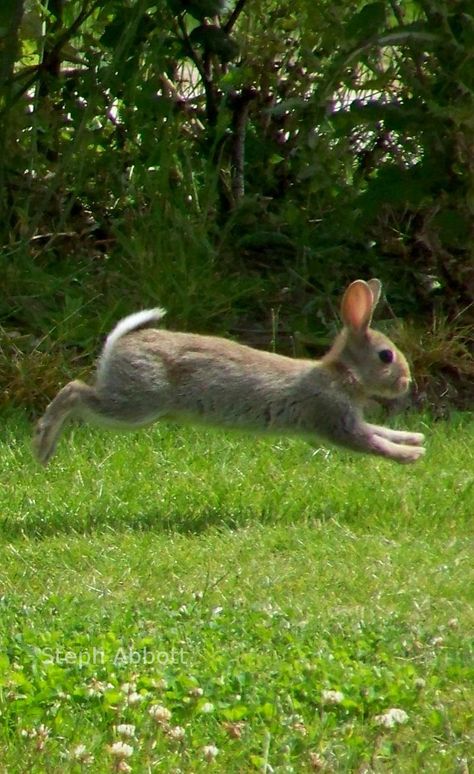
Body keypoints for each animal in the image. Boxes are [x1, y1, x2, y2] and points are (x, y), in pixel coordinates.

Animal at [33, 282, 426, 470]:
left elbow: (380, 430)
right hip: (137, 404)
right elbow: (372, 443)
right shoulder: (334, 418)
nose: (406, 382)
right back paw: (42, 443)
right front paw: (410, 457)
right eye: (386, 356)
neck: (342, 374)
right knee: (74, 391)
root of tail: (119, 344)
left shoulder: (350, 417)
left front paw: (415, 439)